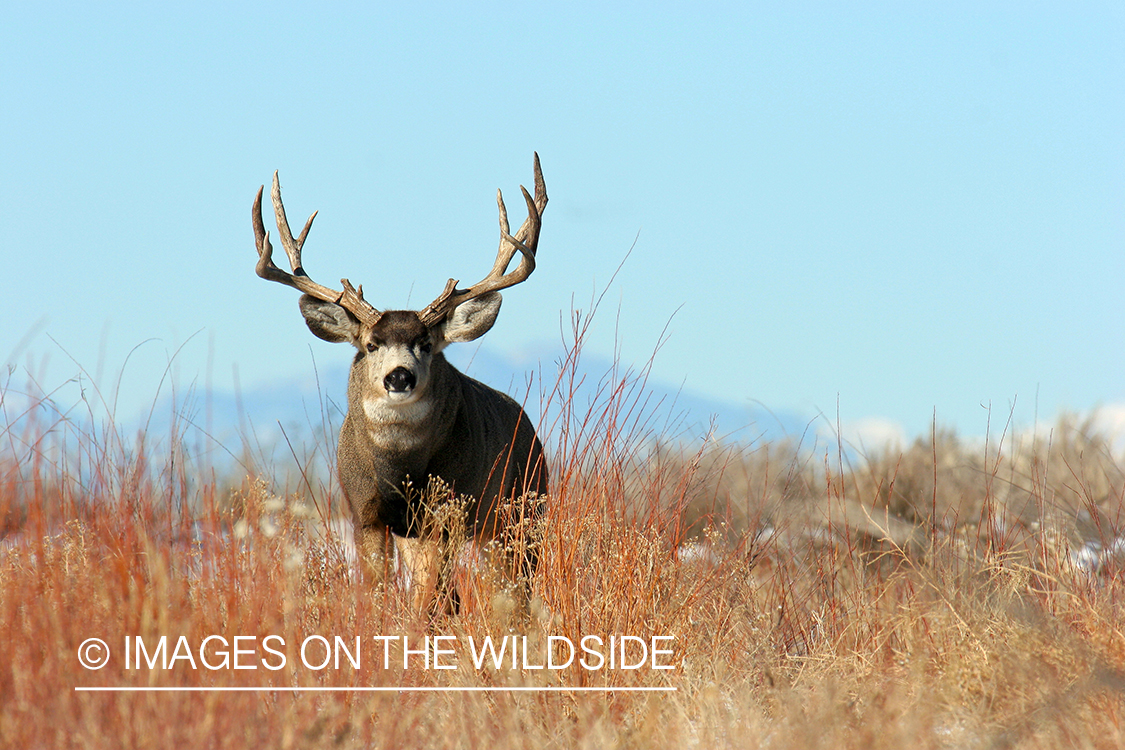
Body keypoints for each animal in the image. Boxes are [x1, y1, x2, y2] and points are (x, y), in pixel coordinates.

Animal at [251, 154, 549, 618]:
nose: (399, 376)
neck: (397, 469)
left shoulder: (449, 510)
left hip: (523, 509)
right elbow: (378, 593)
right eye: (371, 344)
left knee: (518, 587)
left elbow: (437, 598)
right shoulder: (364, 512)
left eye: (426, 344)